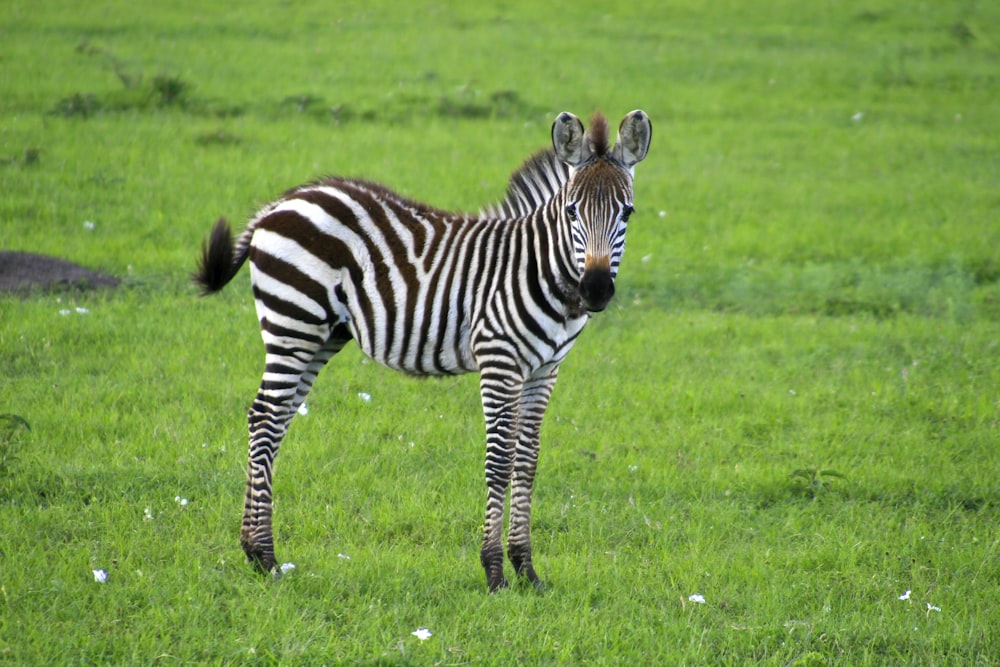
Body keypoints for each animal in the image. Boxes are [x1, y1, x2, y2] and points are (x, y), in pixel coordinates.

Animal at [195, 111, 652, 596]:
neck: (540, 270)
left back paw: (254, 551)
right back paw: (264, 555)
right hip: (293, 324)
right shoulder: (499, 360)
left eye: (627, 211)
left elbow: (527, 461)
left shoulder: (545, 370)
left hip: (322, 335)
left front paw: (527, 570)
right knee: (264, 418)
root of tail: (283, 201)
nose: (596, 290)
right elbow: (499, 461)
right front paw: (494, 572)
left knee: (275, 420)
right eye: (571, 211)